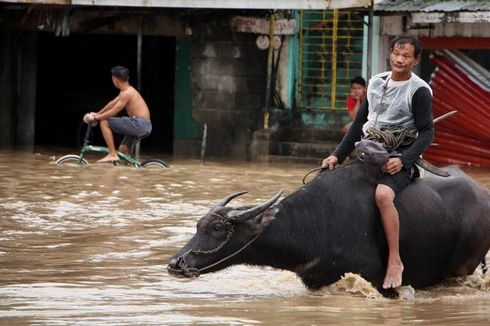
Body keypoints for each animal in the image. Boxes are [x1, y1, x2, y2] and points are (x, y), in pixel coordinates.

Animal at [167, 162, 490, 292]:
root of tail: (482, 193)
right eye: (198, 225)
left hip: (462, 267)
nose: (175, 264)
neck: (314, 224)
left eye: (217, 229)